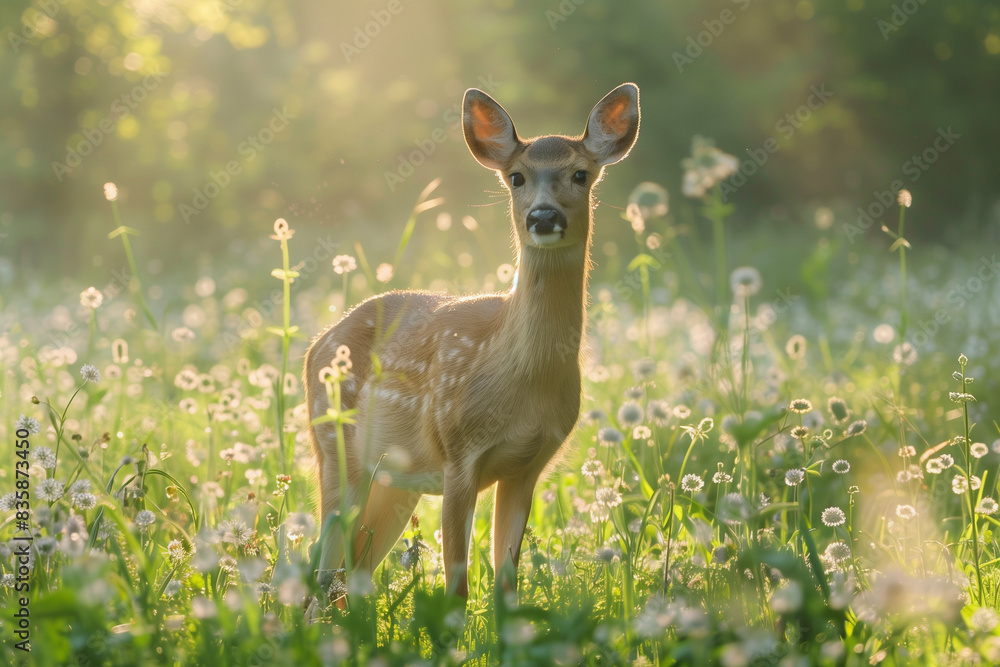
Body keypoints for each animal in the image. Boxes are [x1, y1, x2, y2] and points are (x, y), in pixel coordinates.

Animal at [303, 83, 640, 610]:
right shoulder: (458, 453)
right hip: (335, 448)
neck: (521, 379)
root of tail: (316, 345)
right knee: (322, 569)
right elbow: (457, 588)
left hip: (393, 482)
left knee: (351, 570)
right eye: (516, 177)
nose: (544, 215)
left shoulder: (529, 465)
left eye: (580, 174)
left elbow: (507, 584)